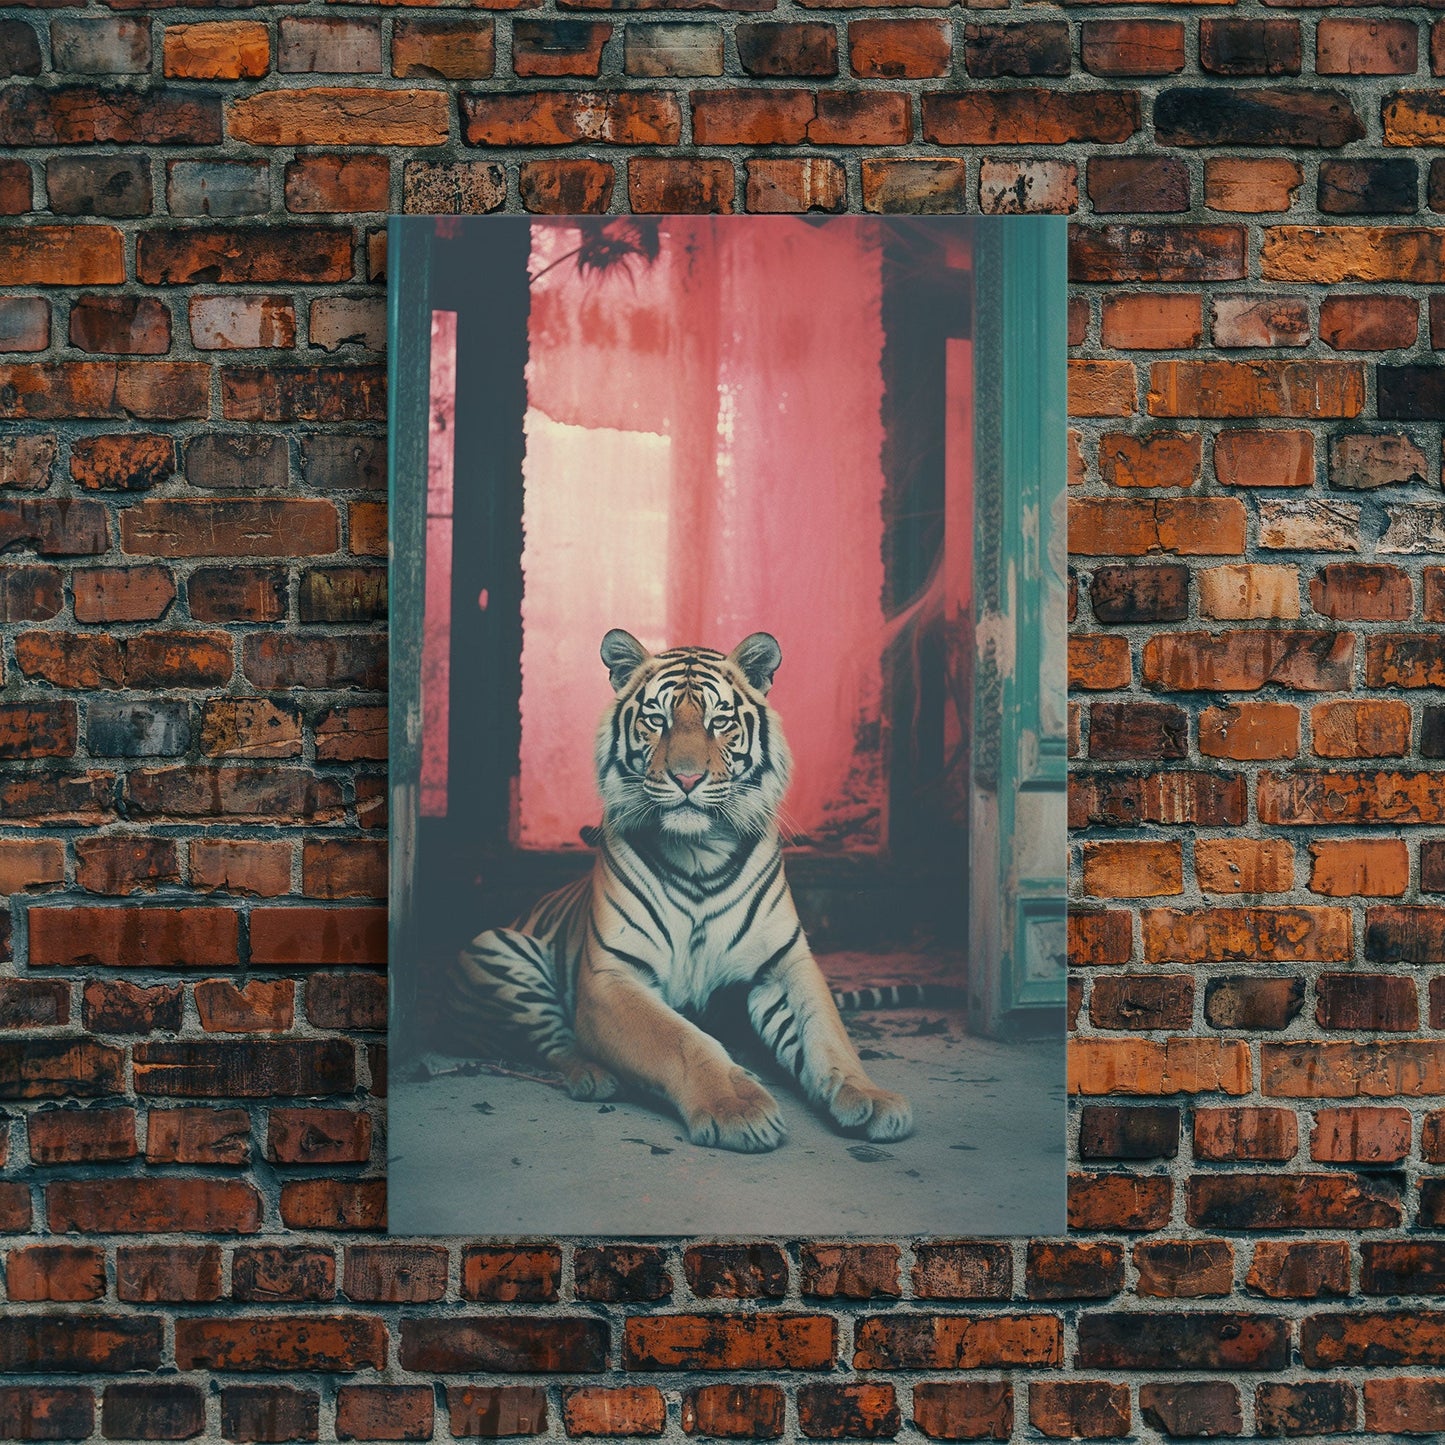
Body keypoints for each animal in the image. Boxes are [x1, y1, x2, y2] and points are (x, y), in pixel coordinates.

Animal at [444, 628, 914, 1153]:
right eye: (657, 719)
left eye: (719, 721)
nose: (687, 778)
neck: (700, 852)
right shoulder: (611, 978)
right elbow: (682, 1039)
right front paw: (739, 1108)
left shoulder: (784, 965)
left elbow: (827, 1034)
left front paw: (869, 1096)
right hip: (495, 950)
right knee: (557, 1044)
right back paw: (595, 1077)